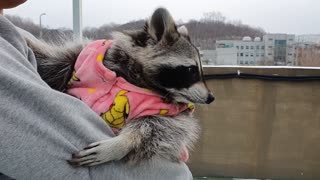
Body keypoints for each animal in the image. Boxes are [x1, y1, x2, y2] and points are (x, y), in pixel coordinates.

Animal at [25, 8, 214, 166]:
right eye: (191, 70)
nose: (211, 97)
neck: (135, 78)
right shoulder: (79, 58)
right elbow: (54, 61)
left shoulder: (171, 113)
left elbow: (164, 128)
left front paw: (122, 143)